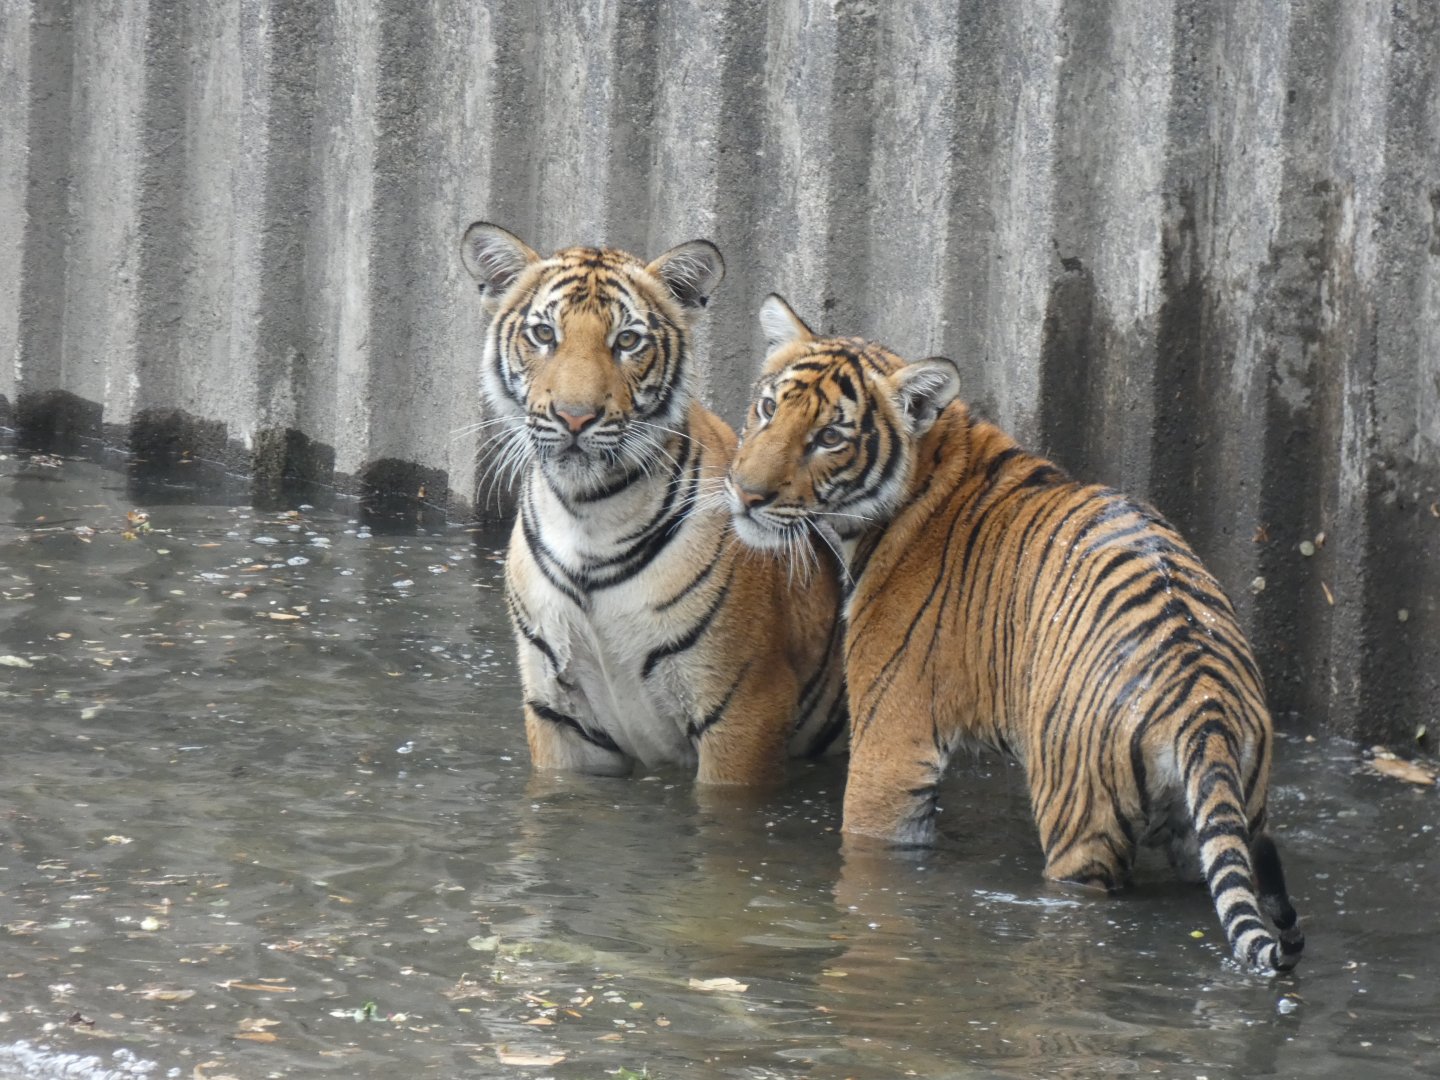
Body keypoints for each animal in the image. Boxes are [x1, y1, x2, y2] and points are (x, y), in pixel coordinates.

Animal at [458, 225, 846, 784]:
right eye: (545, 335)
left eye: (627, 340)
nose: (575, 417)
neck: (588, 514)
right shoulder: (559, 713)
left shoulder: (744, 709)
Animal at [724, 292, 1305, 973]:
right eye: (768, 408)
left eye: (830, 437)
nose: (745, 494)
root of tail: (1203, 699)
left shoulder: (891, 742)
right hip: (1226, 818)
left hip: (1080, 821)